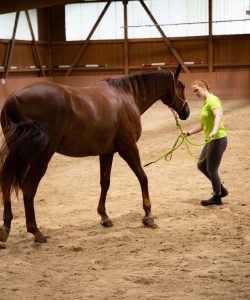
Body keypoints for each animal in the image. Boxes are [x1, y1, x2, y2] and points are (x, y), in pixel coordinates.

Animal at [0, 64, 189, 243]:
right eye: (182, 85)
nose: (186, 112)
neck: (126, 96)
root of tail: (13, 99)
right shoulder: (128, 148)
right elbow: (143, 177)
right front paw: (148, 215)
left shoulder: (106, 152)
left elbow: (105, 182)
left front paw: (104, 216)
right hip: (41, 157)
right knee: (28, 187)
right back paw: (36, 231)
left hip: (17, 153)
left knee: (6, 181)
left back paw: (6, 227)